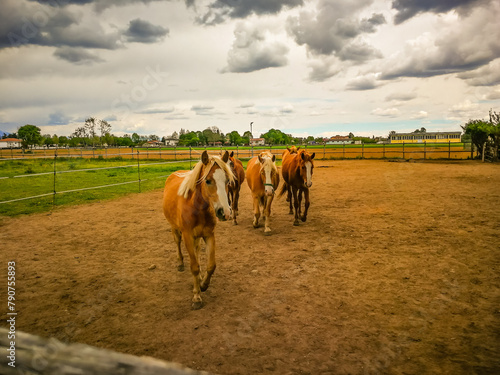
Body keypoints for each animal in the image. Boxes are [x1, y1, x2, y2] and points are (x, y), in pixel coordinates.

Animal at [163, 151, 235, 310]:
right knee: (177, 243)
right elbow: (194, 267)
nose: (225, 212)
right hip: (175, 229)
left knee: (196, 251)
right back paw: (180, 263)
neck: (197, 208)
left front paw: (203, 285)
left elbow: (211, 266)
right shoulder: (188, 236)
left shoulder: (209, 235)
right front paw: (196, 297)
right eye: (207, 181)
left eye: (227, 180)